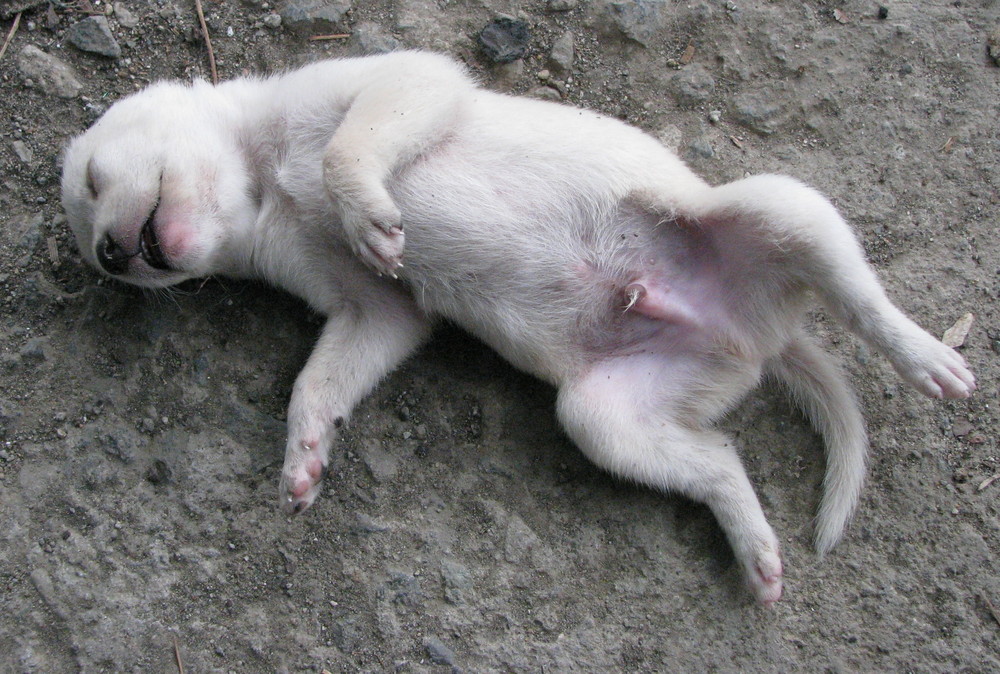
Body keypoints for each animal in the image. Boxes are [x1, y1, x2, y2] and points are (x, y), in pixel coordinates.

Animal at [58, 50, 972, 600]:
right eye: (104, 260)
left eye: (96, 178)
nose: (112, 252)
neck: (265, 186)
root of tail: (760, 338)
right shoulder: (375, 310)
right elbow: (320, 380)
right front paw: (305, 454)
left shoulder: (398, 79)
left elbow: (349, 148)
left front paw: (367, 213)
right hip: (605, 417)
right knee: (717, 461)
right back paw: (757, 551)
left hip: (785, 208)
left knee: (863, 300)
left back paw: (932, 360)